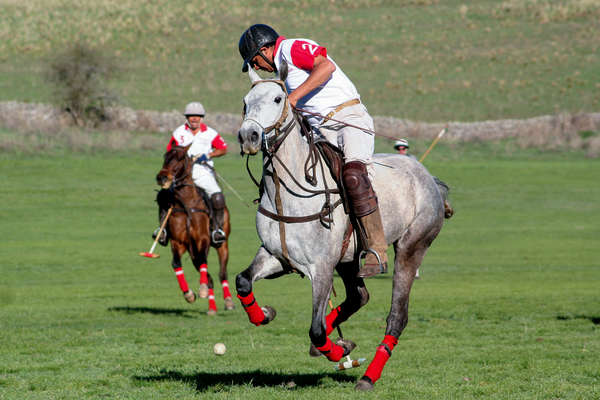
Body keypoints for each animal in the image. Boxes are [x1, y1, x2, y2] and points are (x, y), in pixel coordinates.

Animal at [155, 145, 232, 314]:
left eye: (180, 158)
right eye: (165, 157)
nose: (162, 178)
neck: (186, 203)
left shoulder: (202, 238)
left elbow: (204, 261)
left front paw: (201, 289)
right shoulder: (178, 241)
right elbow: (176, 263)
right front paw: (189, 294)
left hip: (222, 245)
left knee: (222, 273)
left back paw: (228, 301)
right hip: (192, 251)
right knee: (209, 277)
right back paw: (212, 308)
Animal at [237, 68, 448, 390]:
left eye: (277, 99)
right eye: (245, 102)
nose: (249, 136)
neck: (287, 193)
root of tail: (427, 175)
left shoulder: (321, 266)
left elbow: (315, 330)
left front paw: (337, 351)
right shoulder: (277, 256)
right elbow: (243, 281)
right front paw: (265, 314)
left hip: (411, 247)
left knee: (396, 316)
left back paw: (368, 377)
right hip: (349, 258)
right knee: (359, 296)